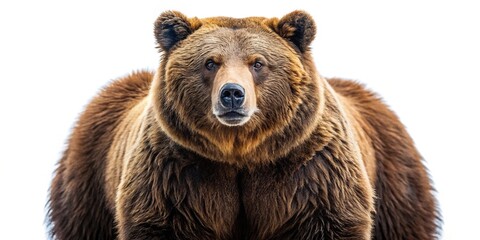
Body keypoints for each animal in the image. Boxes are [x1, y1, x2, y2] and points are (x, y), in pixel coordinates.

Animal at [47, 10, 438, 239]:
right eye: (210, 62)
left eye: (258, 62)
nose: (232, 95)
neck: (241, 152)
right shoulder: (176, 173)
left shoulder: (309, 169)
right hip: (89, 177)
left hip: (392, 177)